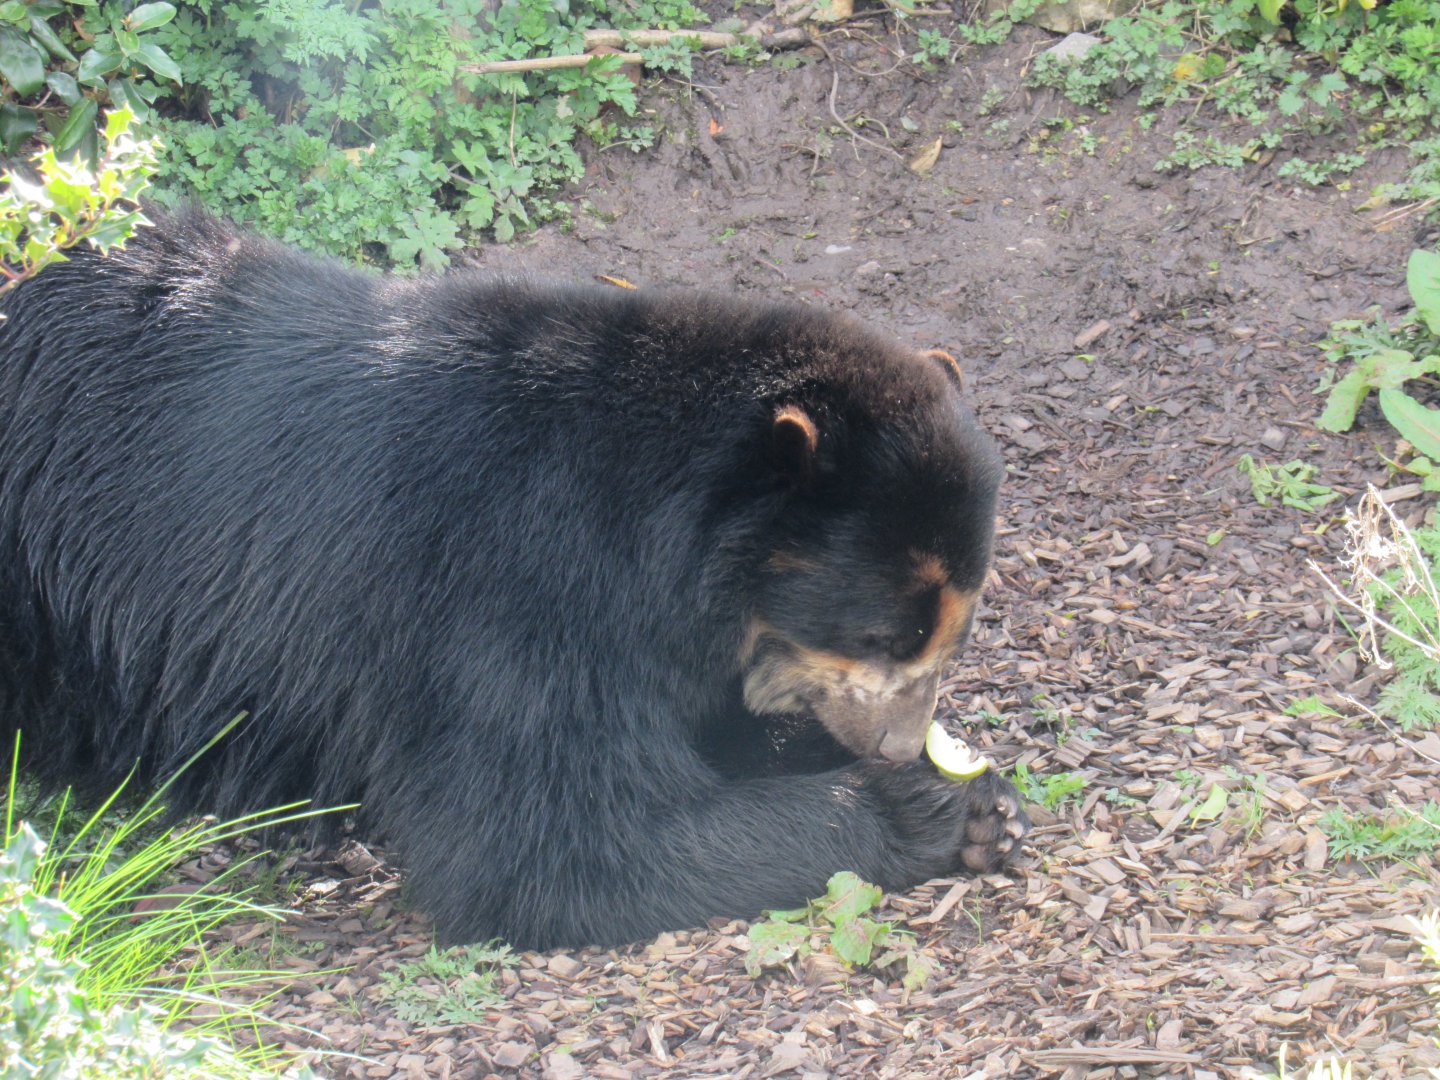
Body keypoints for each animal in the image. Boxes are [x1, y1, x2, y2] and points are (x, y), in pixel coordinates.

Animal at [0, 214, 1026, 950]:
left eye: (955, 634)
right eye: (882, 635)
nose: (899, 742)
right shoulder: (511, 588)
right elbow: (545, 839)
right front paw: (939, 807)